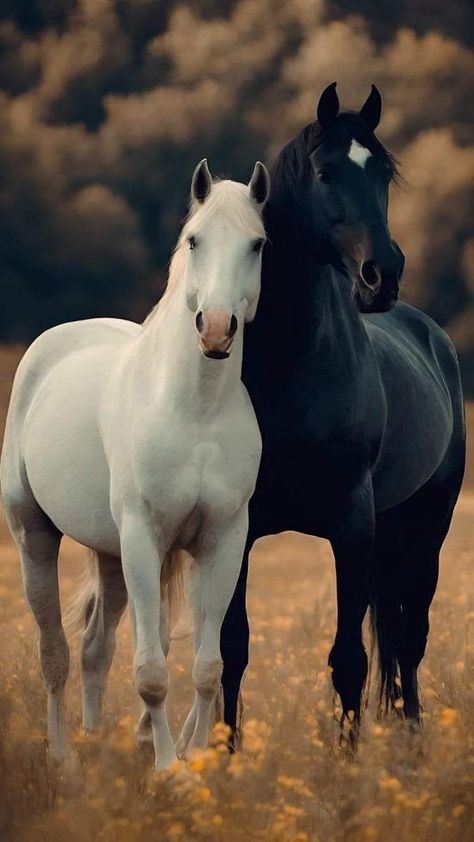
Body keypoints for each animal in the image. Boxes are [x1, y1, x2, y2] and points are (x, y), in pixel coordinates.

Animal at [0, 158, 270, 768]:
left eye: (258, 243)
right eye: (194, 240)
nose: (215, 328)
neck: (195, 409)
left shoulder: (223, 539)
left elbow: (206, 667)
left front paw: (199, 764)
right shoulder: (144, 537)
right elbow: (150, 672)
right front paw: (168, 769)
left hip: (109, 553)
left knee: (95, 648)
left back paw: (94, 742)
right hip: (36, 535)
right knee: (54, 651)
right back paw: (64, 759)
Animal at [220, 83, 464, 740]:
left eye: (383, 171)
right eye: (326, 172)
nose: (383, 275)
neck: (288, 363)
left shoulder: (352, 524)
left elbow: (348, 659)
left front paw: (347, 763)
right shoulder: (236, 527)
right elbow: (231, 649)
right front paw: (222, 755)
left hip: (427, 524)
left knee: (410, 635)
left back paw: (411, 742)